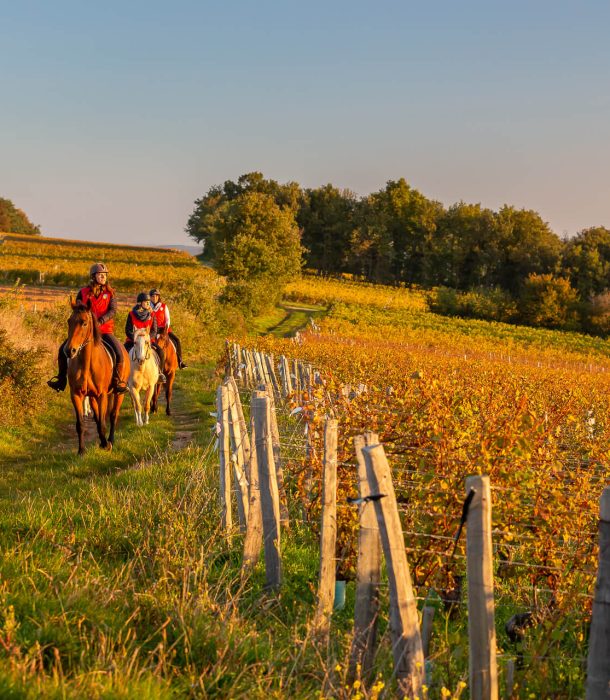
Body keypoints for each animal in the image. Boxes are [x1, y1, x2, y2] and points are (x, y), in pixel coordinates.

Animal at [65, 296, 129, 454]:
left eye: (84, 323)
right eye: (69, 321)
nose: (70, 350)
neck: (87, 364)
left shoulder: (102, 395)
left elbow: (103, 422)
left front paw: (106, 444)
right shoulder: (76, 395)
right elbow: (81, 424)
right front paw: (81, 450)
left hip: (118, 393)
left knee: (113, 415)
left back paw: (110, 440)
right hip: (93, 396)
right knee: (98, 417)